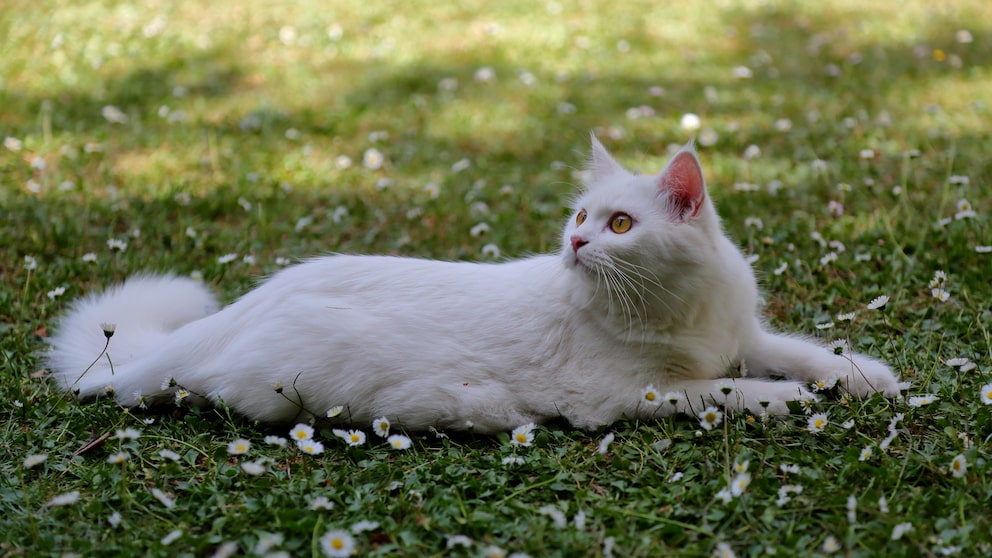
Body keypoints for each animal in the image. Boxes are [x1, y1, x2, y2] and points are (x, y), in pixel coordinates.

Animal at [46, 138, 904, 436]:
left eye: (620, 224)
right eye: (583, 217)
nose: (576, 243)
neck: (677, 305)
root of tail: (229, 316)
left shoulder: (742, 334)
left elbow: (799, 350)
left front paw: (861, 377)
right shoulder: (627, 394)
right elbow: (726, 390)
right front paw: (788, 399)